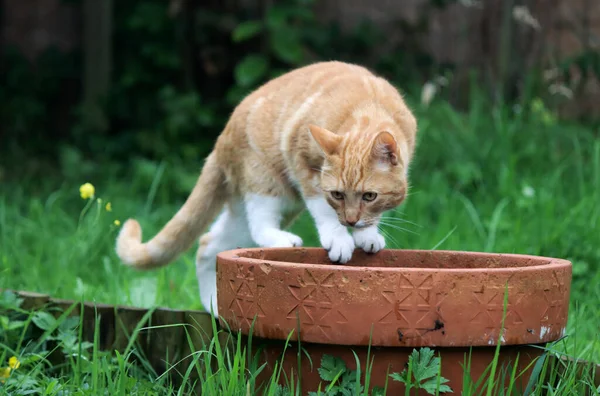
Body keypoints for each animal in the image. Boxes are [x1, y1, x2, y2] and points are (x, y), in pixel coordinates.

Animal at [116, 61, 418, 316]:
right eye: (337, 195)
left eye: (369, 196)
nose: (351, 221)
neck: (367, 107)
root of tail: (222, 138)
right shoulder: (303, 166)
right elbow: (324, 211)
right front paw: (340, 238)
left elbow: (372, 218)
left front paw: (367, 235)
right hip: (268, 184)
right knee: (258, 227)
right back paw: (282, 241)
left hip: (262, 206)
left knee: (208, 244)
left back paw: (214, 305)